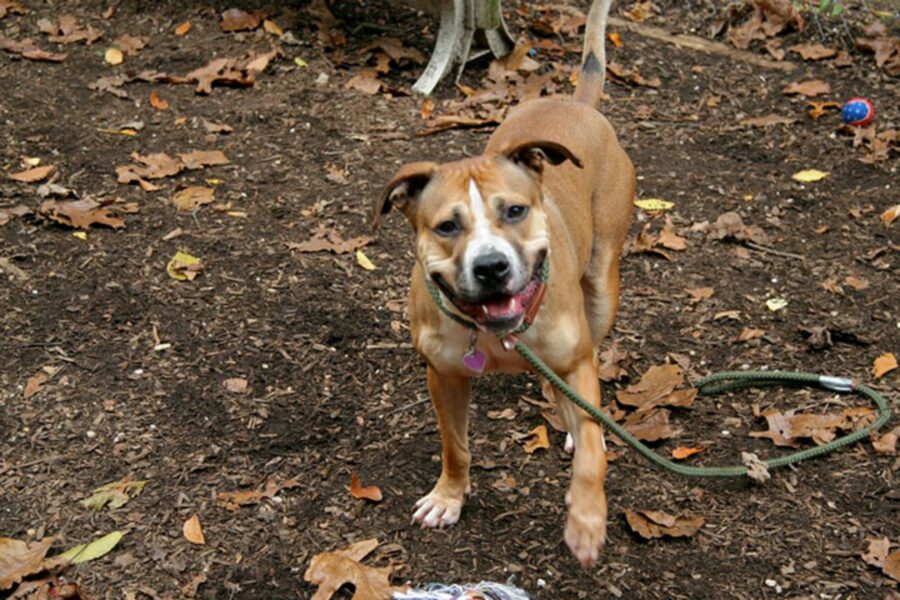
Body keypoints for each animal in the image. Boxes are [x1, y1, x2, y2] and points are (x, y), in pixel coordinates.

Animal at [372, 0, 632, 568]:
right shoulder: (444, 376)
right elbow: (455, 445)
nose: (490, 266)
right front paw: (448, 497)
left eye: (514, 211)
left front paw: (586, 521)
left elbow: (594, 452)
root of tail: (577, 105)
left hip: (603, 287)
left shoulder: (577, 360)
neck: (493, 334)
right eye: (446, 226)